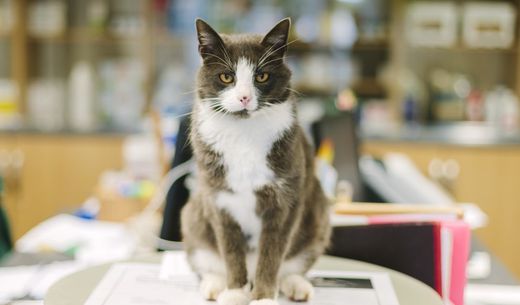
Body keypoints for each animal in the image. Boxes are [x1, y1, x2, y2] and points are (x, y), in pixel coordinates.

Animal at [181, 18, 332, 304]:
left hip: (318, 217)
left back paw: (296, 284)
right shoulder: (218, 199)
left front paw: (263, 297)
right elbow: (230, 251)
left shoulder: (285, 200)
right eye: (226, 76)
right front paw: (235, 292)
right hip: (192, 218)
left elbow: (272, 253)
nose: (244, 97)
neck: (244, 133)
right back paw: (215, 284)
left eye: (261, 76)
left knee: (294, 262)